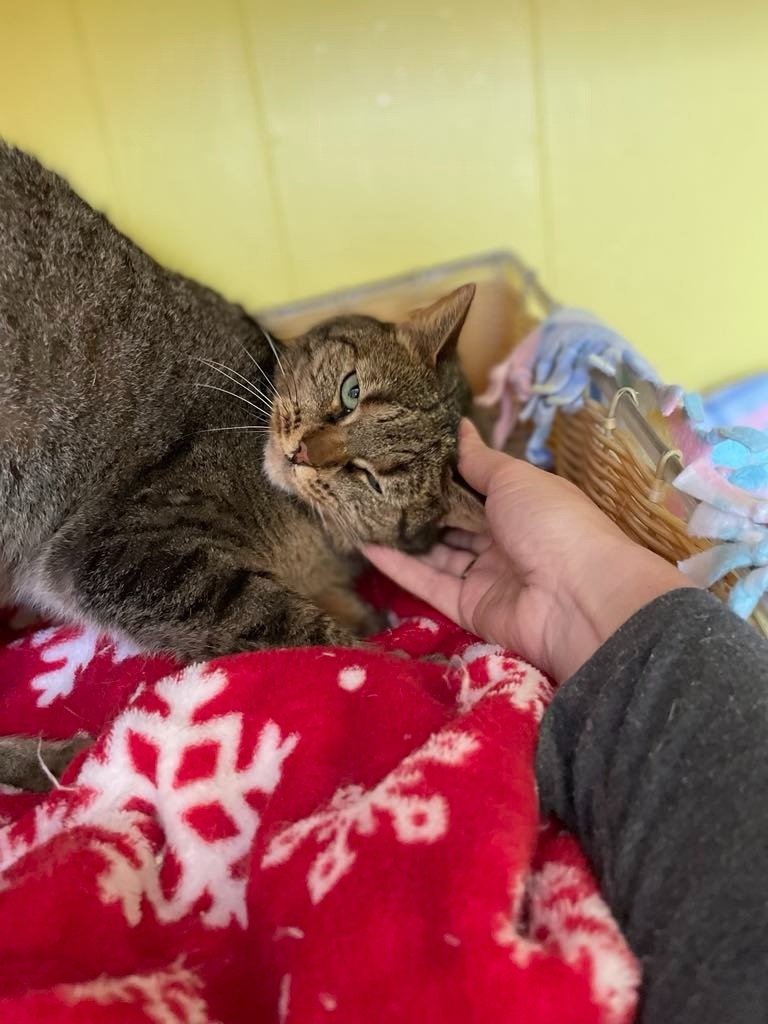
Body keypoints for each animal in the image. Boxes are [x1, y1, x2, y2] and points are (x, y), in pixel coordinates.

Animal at [0, 140, 481, 786]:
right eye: (351, 391)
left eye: (373, 479)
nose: (304, 451)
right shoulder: (138, 552)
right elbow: (298, 632)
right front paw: (413, 663)